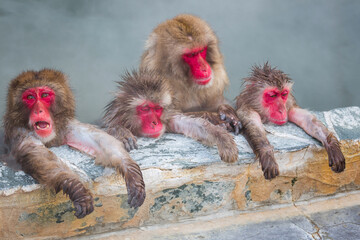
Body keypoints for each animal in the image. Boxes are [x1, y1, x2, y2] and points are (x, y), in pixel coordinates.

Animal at [2, 69, 146, 218]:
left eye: (45, 95)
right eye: (30, 97)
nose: (38, 110)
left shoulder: (68, 127)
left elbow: (98, 141)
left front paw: (132, 172)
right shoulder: (19, 133)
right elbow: (37, 154)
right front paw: (77, 189)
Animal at [102, 68, 239, 164]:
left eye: (158, 109)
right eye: (145, 109)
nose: (155, 123)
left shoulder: (168, 120)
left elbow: (195, 125)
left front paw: (223, 139)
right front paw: (119, 132)